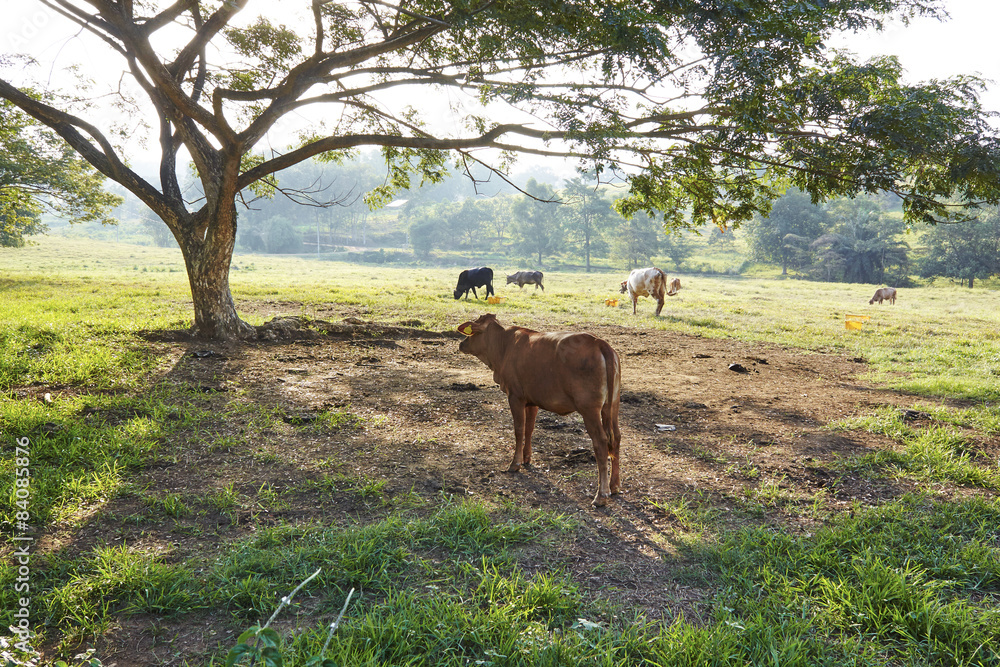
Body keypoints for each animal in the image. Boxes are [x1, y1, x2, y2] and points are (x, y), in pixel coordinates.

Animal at [458, 314, 620, 506]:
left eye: (472, 331)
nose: (461, 343)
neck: (503, 346)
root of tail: (598, 342)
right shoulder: (532, 400)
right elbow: (529, 429)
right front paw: (527, 458)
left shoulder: (515, 397)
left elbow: (519, 430)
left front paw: (515, 463)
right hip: (613, 405)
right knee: (616, 438)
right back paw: (614, 486)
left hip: (589, 409)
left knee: (601, 442)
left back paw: (601, 495)